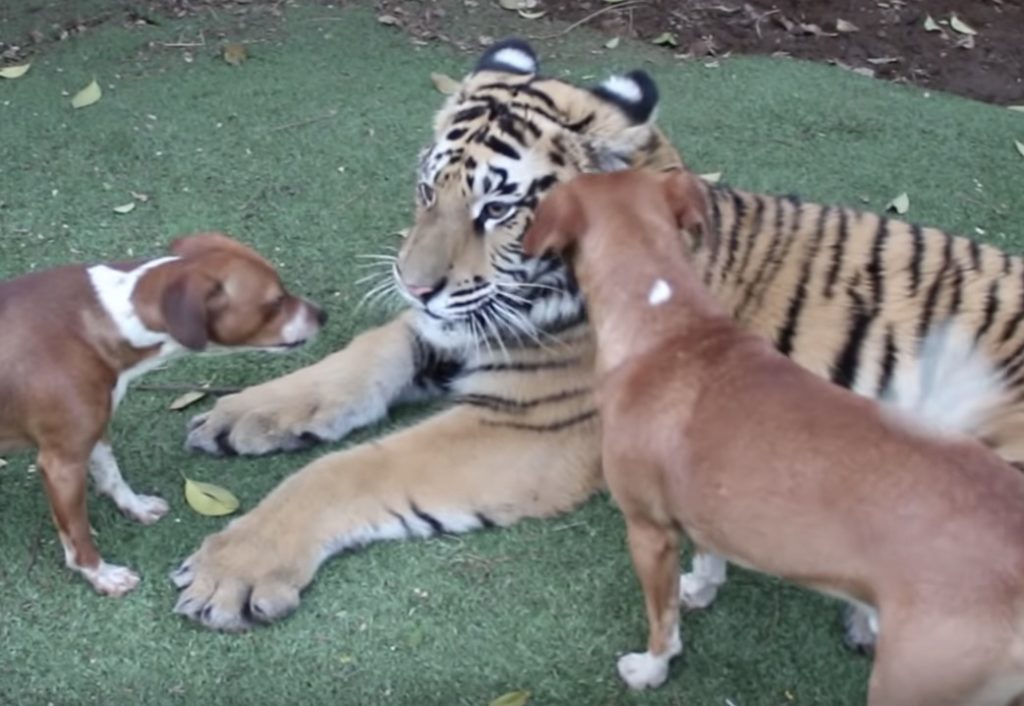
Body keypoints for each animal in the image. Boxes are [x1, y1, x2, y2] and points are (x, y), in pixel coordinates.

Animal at [0, 232, 325, 596]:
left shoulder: (94, 431)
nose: (323, 314)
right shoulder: (62, 464)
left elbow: (111, 474)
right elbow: (78, 534)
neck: (106, 319)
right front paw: (102, 574)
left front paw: (136, 507)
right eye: (275, 301)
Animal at [522, 168, 1024, 705]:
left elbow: (663, 622)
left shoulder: (648, 532)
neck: (667, 322)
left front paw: (651, 668)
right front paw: (700, 588)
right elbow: (710, 557)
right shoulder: (705, 502)